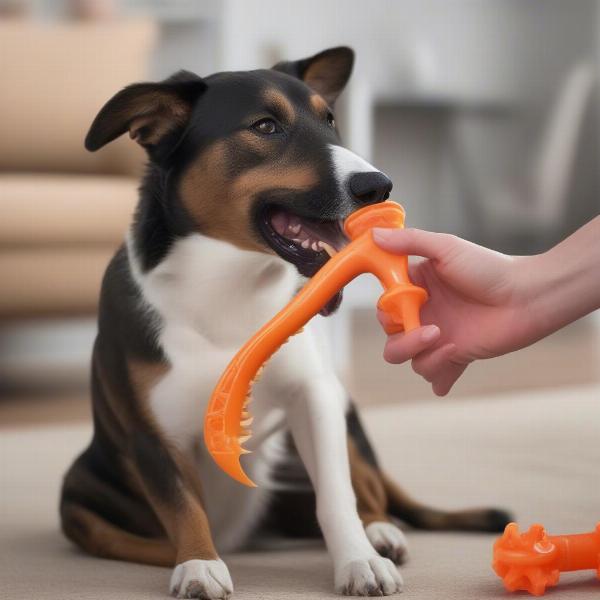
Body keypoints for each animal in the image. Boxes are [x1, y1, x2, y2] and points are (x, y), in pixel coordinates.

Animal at [59, 45, 510, 596]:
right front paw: (198, 563)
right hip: (77, 490)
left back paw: (380, 533)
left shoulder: (315, 397)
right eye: (266, 126)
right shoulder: (151, 432)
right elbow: (182, 505)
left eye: (331, 119)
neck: (228, 289)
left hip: (344, 416)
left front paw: (359, 560)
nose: (379, 185)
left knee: (371, 492)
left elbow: (336, 495)